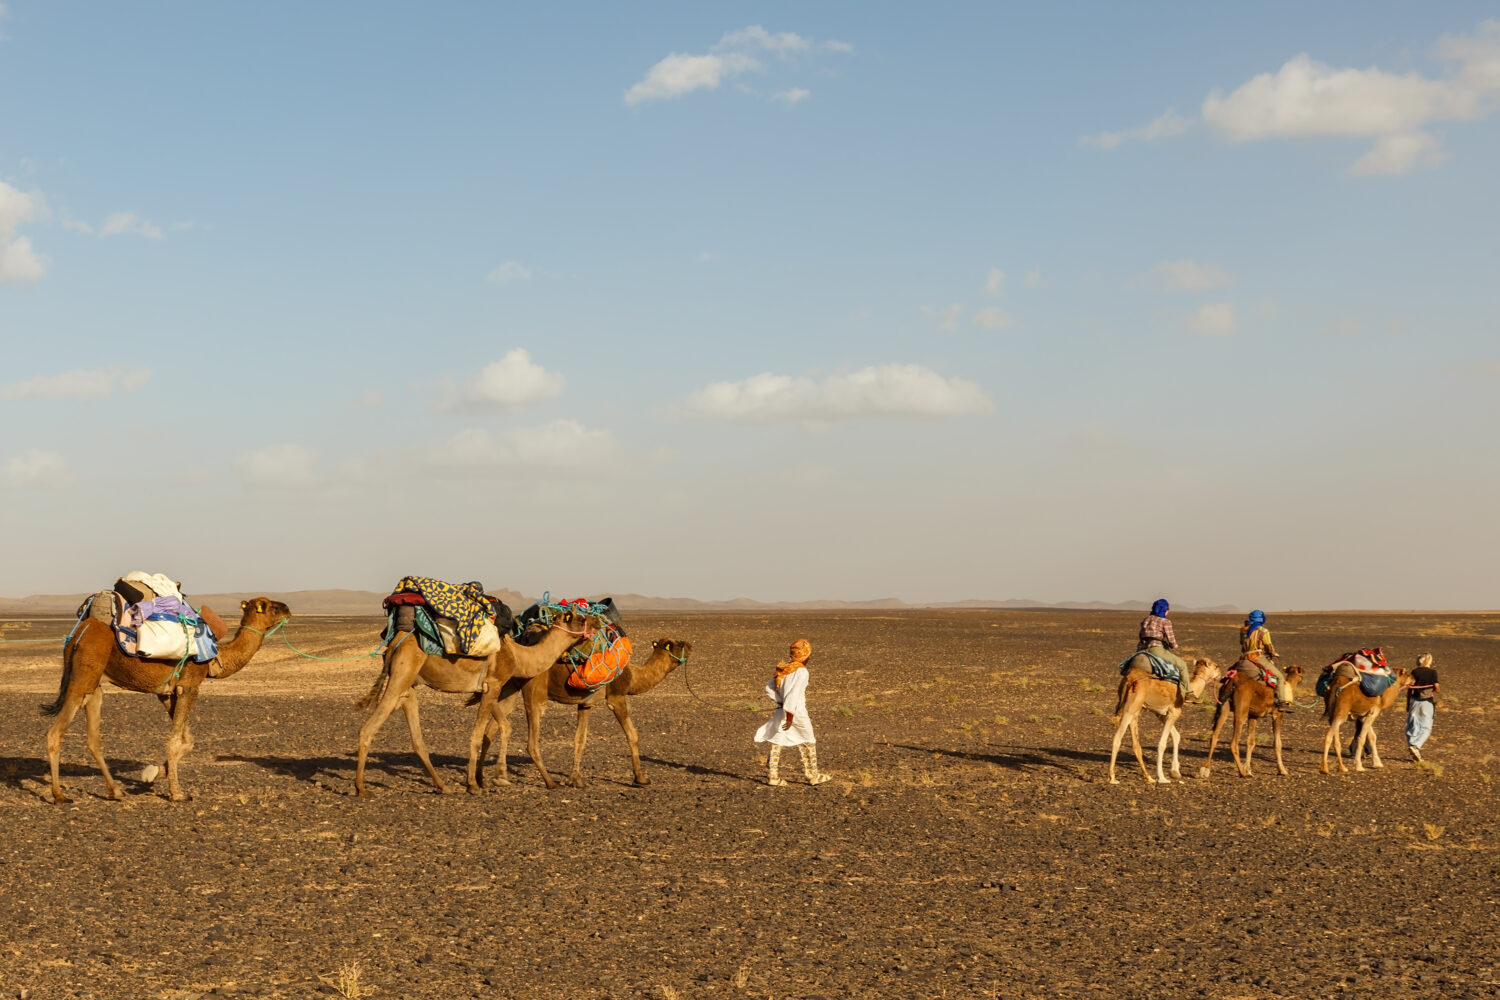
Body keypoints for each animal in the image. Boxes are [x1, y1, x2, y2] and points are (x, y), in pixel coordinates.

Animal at [41, 593, 292, 803]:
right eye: (271, 607)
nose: (288, 609)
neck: (216, 657)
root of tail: (76, 635)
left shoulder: (166, 692)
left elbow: (187, 739)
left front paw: (152, 773)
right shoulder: (189, 686)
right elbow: (173, 741)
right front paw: (177, 793)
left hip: (95, 685)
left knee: (93, 739)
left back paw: (115, 791)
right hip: (83, 676)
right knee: (55, 732)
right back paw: (59, 795)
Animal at [351, 605, 591, 803]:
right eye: (578, 619)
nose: (593, 623)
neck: (518, 656)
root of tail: (393, 643)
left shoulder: (489, 689)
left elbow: (504, 726)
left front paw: (493, 776)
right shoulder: (494, 684)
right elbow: (477, 735)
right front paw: (476, 783)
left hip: (408, 686)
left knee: (417, 737)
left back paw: (442, 786)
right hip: (402, 674)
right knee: (367, 729)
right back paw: (361, 788)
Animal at [471, 641, 693, 791]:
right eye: (677, 644)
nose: (691, 645)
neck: (633, 676)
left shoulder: (585, 704)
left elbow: (580, 739)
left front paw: (575, 780)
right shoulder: (616, 697)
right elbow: (632, 734)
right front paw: (641, 778)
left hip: (510, 687)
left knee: (491, 729)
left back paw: (484, 778)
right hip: (534, 691)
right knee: (529, 739)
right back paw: (548, 782)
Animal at [1104, 656, 1218, 791]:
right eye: (1216, 666)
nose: (1220, 673)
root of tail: (1129, 680)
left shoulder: (1161, 714)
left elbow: (1176, 736)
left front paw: (1175, 771)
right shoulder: (1174, 712)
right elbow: (1162, 743)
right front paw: (1162, 777)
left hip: (1134, 710)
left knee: (1136, 744)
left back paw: (1148, 777)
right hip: (1130, 709)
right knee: (1117, 738)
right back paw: (1112, 777)